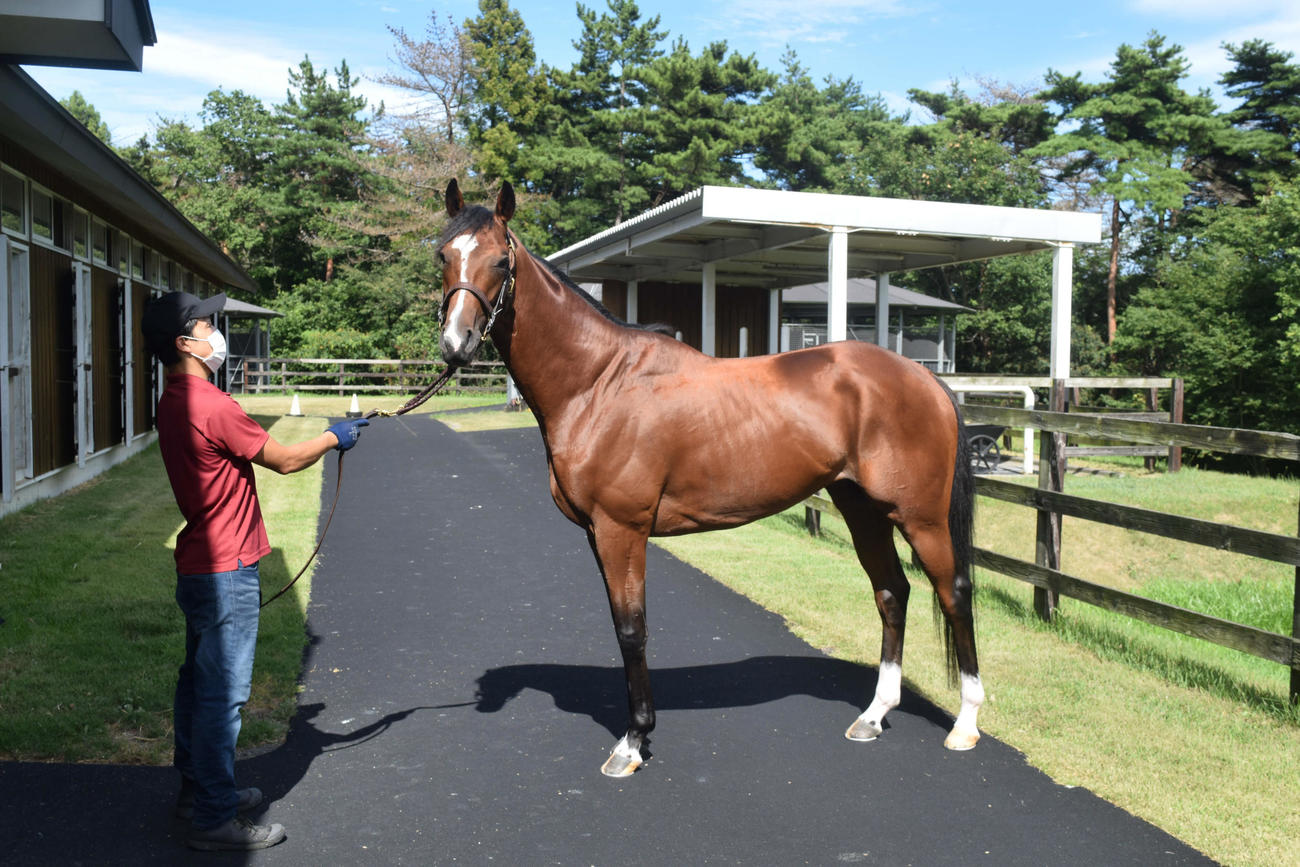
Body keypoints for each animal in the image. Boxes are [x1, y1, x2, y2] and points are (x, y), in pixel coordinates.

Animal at [436, 179, 982, 777]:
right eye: (443, 256)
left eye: (498, 260)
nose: (456, 344)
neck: (598, 383)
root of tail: (925, 379)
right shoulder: (597, 534)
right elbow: (620, 624)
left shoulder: (621, 530)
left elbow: (632, 628)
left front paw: (633, 742)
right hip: (862, 508)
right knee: (891, 592)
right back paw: (874, 714)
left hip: (920, 516)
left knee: (954, 593)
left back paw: (965, 726)